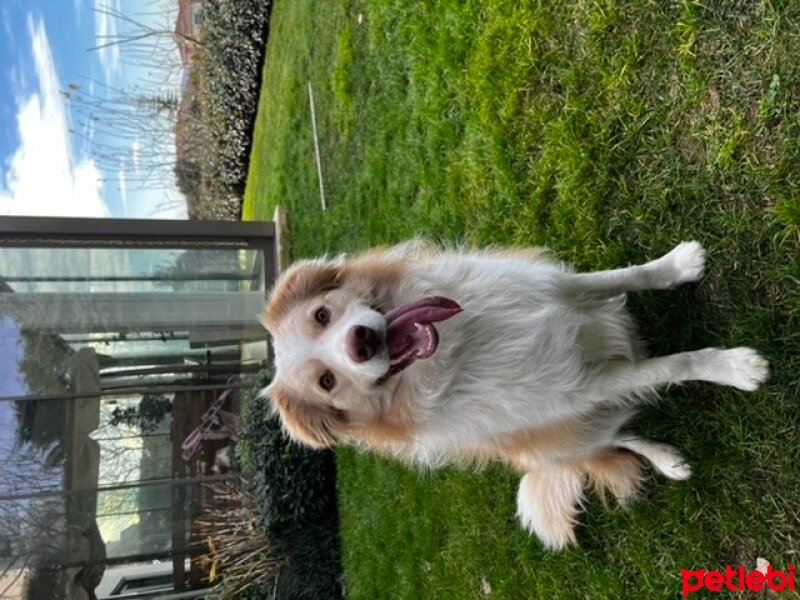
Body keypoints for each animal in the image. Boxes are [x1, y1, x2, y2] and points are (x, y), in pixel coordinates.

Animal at [260, 241, 768, 552]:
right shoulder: (586, 386)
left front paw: (678, 265)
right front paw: (736, 368)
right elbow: (672, 366)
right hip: (569, 435)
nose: (360, 342)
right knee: (613, 438)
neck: (461, 349)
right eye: (327, 382)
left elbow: (622, 276)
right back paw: (664, 458)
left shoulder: (554, 286)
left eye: (322, 315)